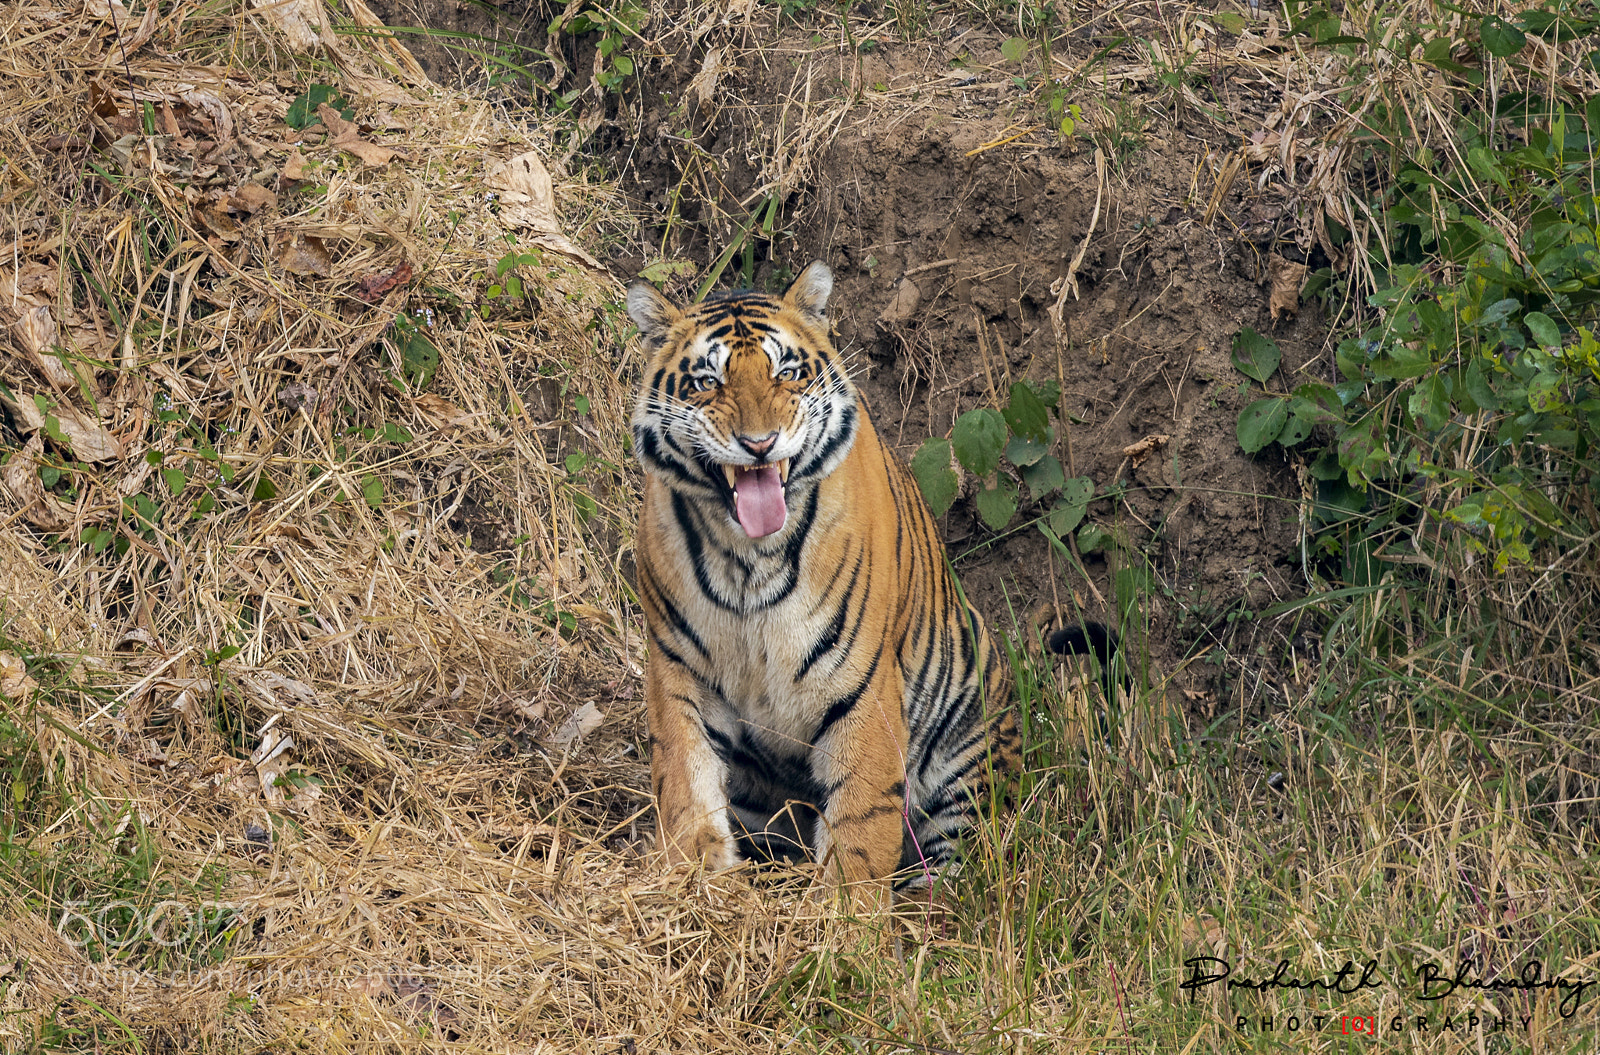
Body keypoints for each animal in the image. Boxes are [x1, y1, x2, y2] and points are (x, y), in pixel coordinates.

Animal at [625, 261, 1109, 898]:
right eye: (708, 381)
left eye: (787, 373)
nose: (759, 444)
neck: (748, 556)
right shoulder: (678, 669)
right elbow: (685, 783)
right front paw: (698, 881)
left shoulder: (861, 683)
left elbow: (861, 815)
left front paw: (847, 915)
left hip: (968, 753)